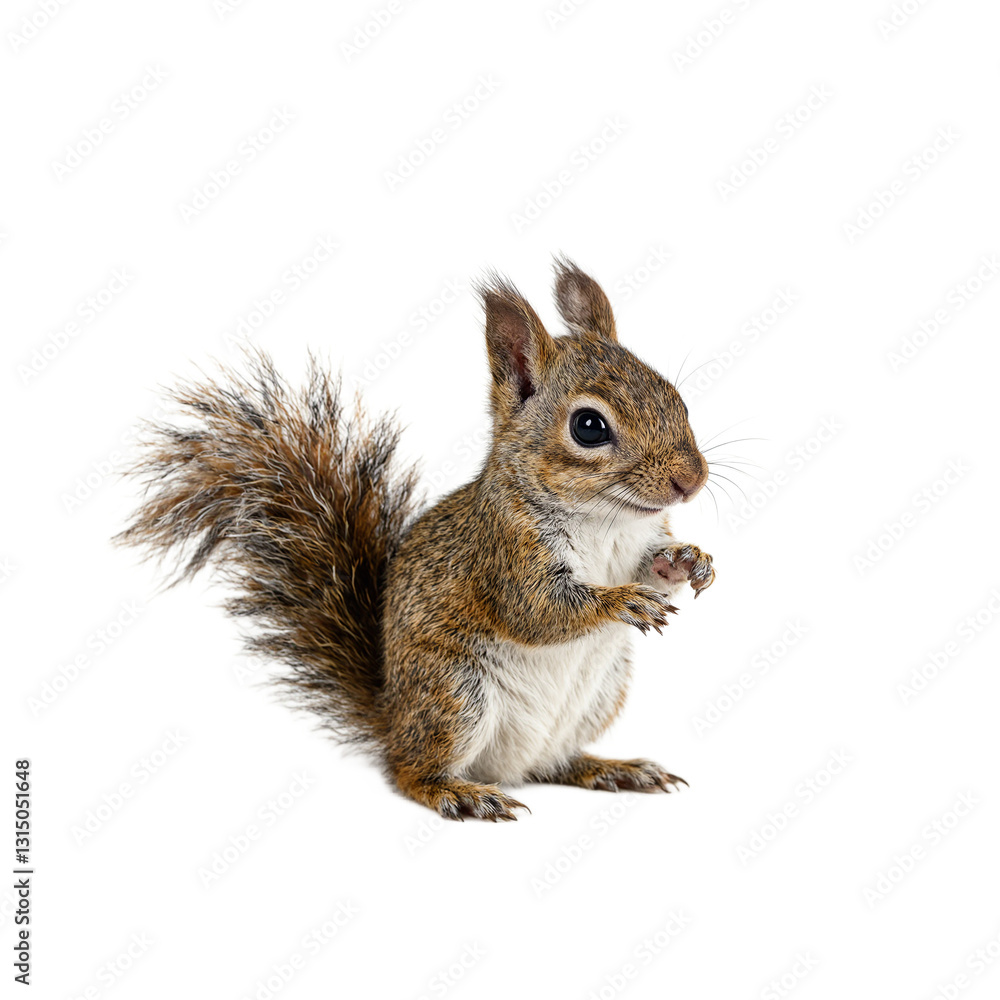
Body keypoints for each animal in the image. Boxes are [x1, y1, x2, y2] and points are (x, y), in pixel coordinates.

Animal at [116, 258, 716, 821]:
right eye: (589, 427)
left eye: (676, 397)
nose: (691, 480)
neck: (605, 521)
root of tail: (393, 716)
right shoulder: (504, 551)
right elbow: (537, 611)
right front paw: (624, 602)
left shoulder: (638, 540)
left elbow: (652, 565)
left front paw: (689, 561)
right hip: (454, 695)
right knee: (409, 771)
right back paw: (461, 794)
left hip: (597, 697)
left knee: (550, 764)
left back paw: (610, 768)